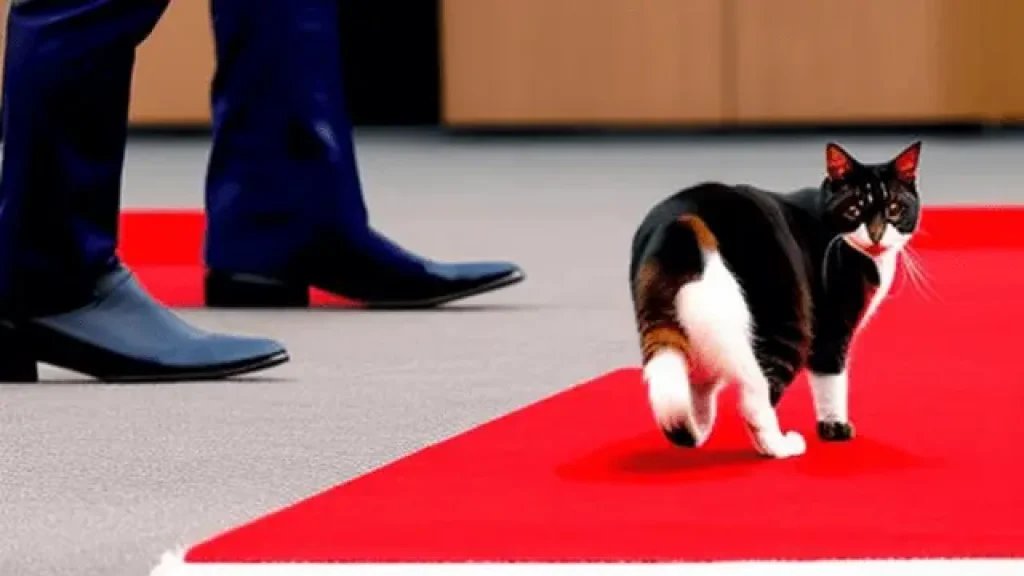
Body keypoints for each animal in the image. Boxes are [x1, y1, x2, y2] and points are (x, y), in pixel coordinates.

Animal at [626, 140, 925, 457]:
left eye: (894, 209)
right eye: (855, 209)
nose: (877, 234)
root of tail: (682, 217)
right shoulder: (832, 328)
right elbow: (832, 380)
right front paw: (835, 428)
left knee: (690, 384)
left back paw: (697, 428)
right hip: (786, 319)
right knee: (755, 397)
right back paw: (779, 446)